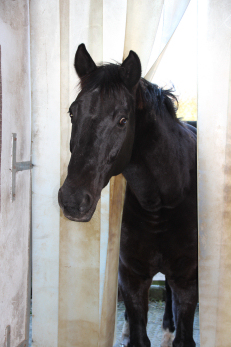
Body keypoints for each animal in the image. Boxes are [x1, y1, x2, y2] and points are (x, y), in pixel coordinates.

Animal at [58, 44, 198, 347]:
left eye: (123, 120)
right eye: (73, 113)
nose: (73, 200)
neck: (162, 203)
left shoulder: (187, 280)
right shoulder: (132, 277)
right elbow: (137, 334)